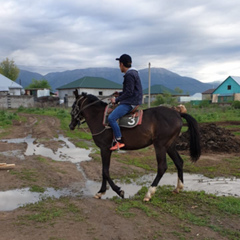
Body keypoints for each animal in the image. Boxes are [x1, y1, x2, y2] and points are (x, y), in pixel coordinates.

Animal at [69, 90, 201, 201]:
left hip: (160, 145)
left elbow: (105, 171)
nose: (71, 125)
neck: (99, 117)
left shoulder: (105, 149)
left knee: (162, 167)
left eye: (73, 106)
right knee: (179, 162)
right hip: (170, 146)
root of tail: (177, 114)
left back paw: (149, 193)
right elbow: (104, 171)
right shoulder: (105, 149)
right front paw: (102, 192)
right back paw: (178, 188)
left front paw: (117, 191)